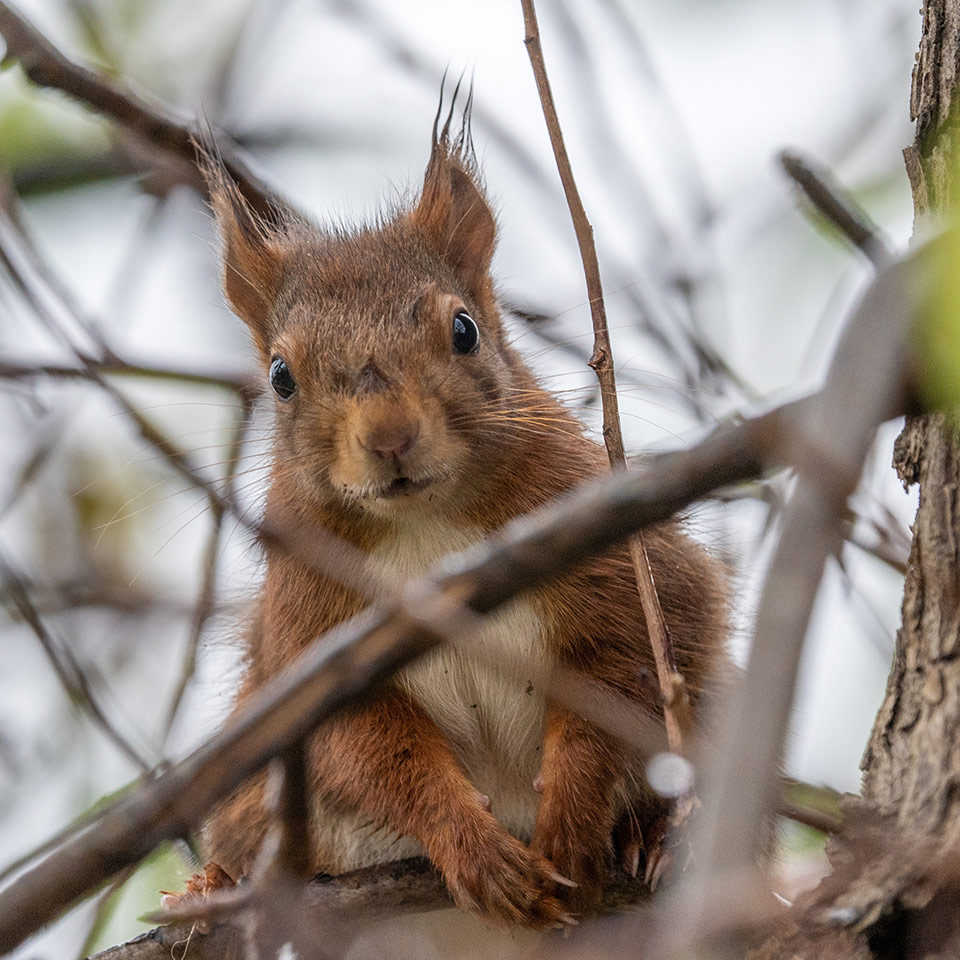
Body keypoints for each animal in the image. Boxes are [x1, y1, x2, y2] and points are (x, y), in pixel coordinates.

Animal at [188, 98, 729, 930]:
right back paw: (210, 889)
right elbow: (375, 751)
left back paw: (657, 836)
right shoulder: (306, 634)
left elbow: (628, 663)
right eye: (280, 376)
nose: (389, 438)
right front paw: (474, 849)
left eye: (464, 329)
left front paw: (571, 820)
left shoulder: (622, 564)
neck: (425, 528)